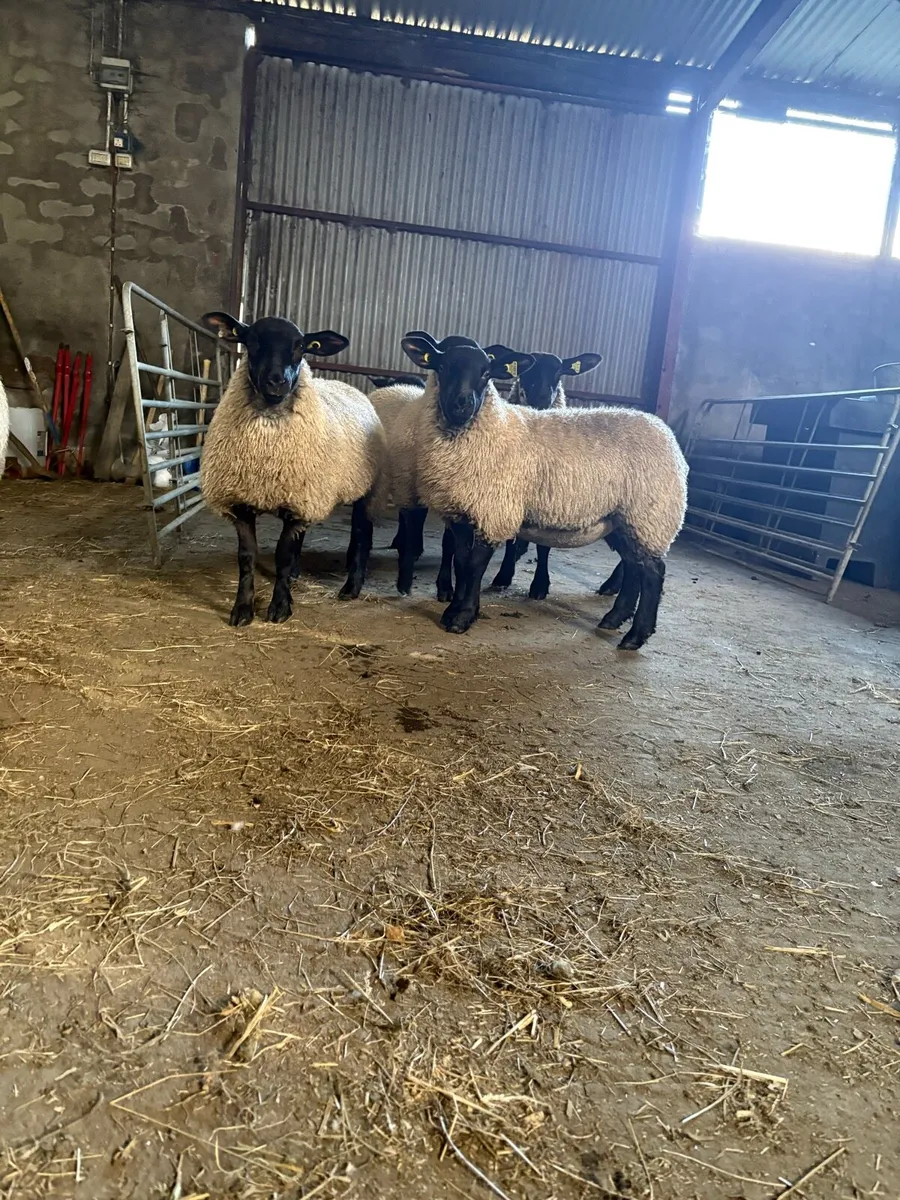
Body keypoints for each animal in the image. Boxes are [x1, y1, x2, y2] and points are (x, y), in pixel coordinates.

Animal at [200, 311, 388, 627]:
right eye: (252, 341)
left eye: (301, 346)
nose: (278, 381)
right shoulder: (242, 501)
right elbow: (247, 556)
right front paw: (243, 608)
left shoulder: (299, 502)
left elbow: (283, 555)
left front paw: (279, 607)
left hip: (366, 487)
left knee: (362, 534)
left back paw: (351, 587)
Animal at [482, 347, 605, 601]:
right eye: (526, 370)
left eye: (559, 373)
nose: (542, 398)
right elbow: (513, 538)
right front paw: (504, 576)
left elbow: (544, 545)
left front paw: (539, 585)